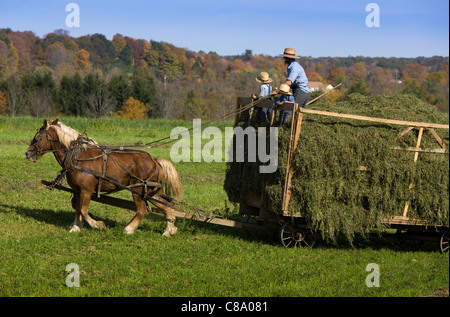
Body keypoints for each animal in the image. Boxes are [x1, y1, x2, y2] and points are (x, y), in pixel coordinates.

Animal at [24, 118, 182, 235]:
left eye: (38, 136)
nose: (27, 153)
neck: (77, 156)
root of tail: (156, 161)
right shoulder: (77, 190)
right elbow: (77, 207)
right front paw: (76, 226)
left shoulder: (87, 190)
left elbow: (83, 210)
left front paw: (98, 225)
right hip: (151, 191)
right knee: (167, 207)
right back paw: (169, 230)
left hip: (138, 190)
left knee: (142, 211)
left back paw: (128, 229)